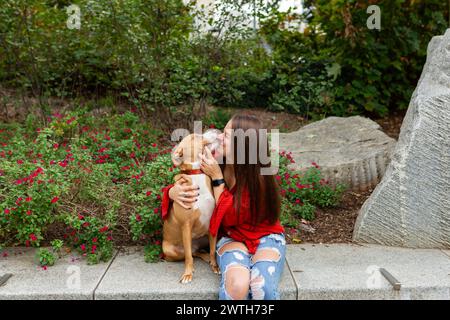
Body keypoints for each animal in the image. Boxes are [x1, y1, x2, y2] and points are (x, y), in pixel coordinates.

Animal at [163, 130, 223, 282]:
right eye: (195, 136)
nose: (214, 130)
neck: (197, 174)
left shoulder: (212, 222)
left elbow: (213, 250)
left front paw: (215, 266)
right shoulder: (186, 225)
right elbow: (188, 257)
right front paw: (188, 274)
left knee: (197, 251)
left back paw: (207, 257)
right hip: (170, 250)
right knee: (190, 253)